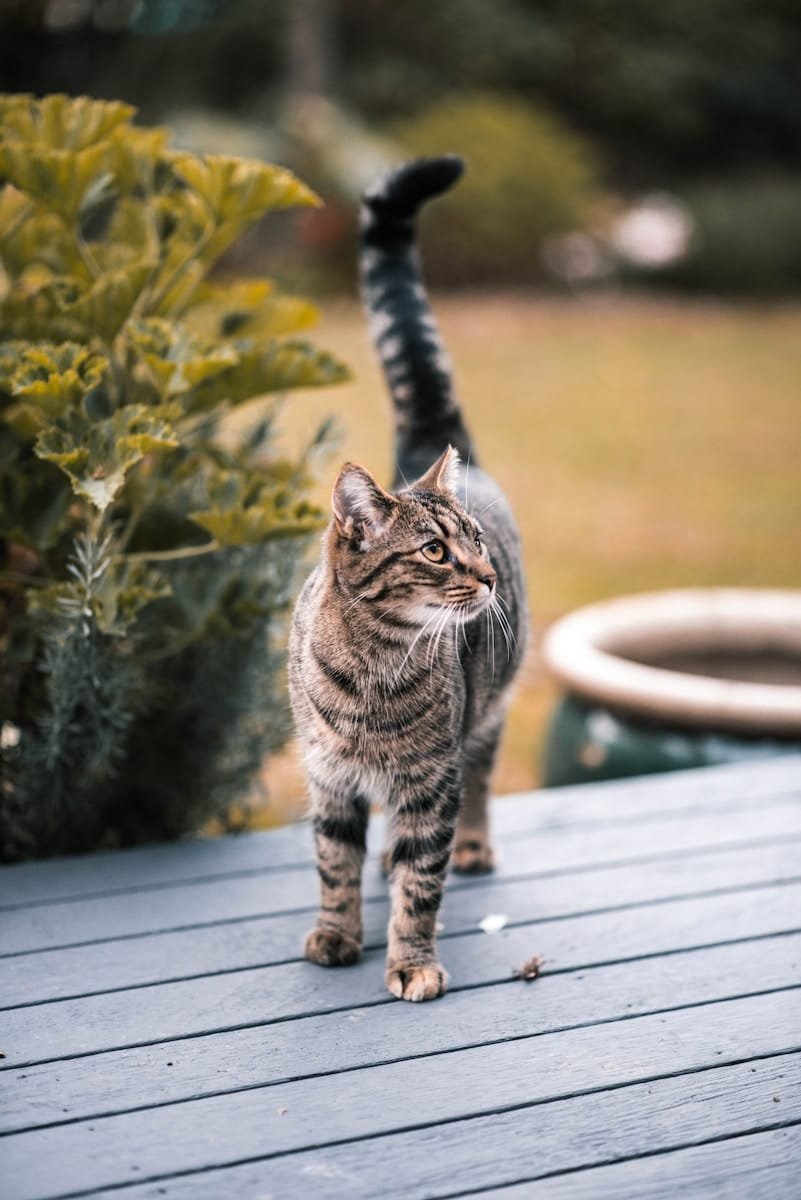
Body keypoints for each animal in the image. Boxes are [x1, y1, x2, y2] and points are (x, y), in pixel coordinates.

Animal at [286, 159, 525, 1003]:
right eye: (432, 551)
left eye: (474, 543)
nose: (485, 576)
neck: (375, 670)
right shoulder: (329, 779)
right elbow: (332, 864)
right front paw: (335, 933)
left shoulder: (429, 782)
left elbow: (422, 883)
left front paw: (410, 960)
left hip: (486, 715)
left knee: (481, 777)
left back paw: (473, 846)